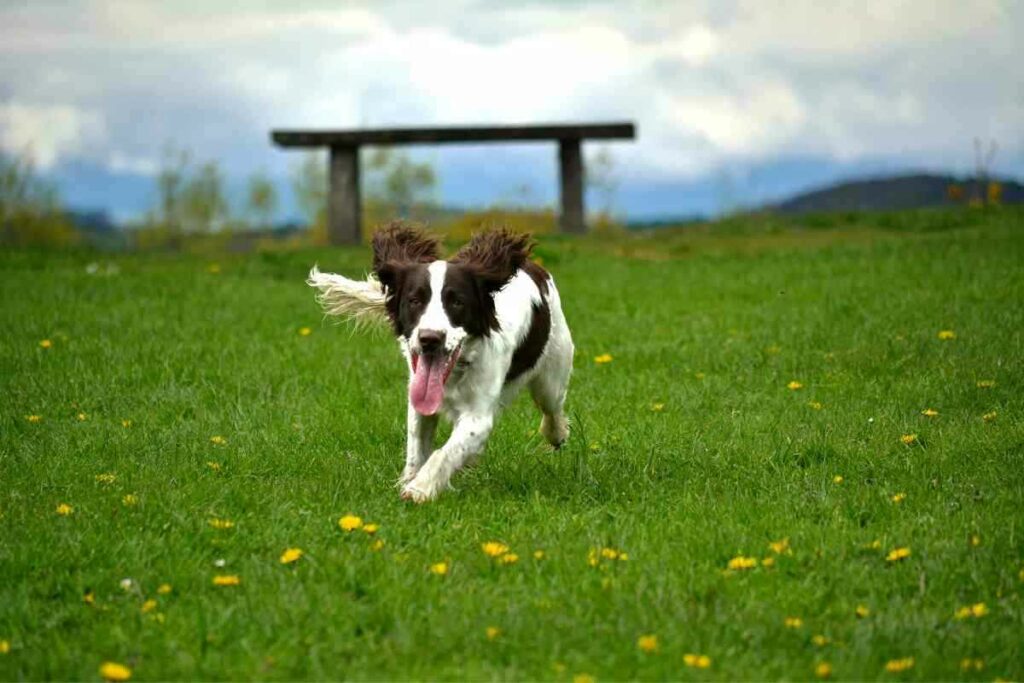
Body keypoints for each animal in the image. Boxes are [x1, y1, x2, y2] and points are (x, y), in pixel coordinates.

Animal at [307, 224, 573, 501]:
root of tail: (534, 267)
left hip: (552, 375)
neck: (456, 371)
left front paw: (419, 489)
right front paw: (410, 479)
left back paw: (557, 434)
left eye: (457, 302)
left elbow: (445, 452)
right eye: (414, 300)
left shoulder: (478, 416)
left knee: (552, 409)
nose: (430, 339)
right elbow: (417, 447)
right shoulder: (418, 399)